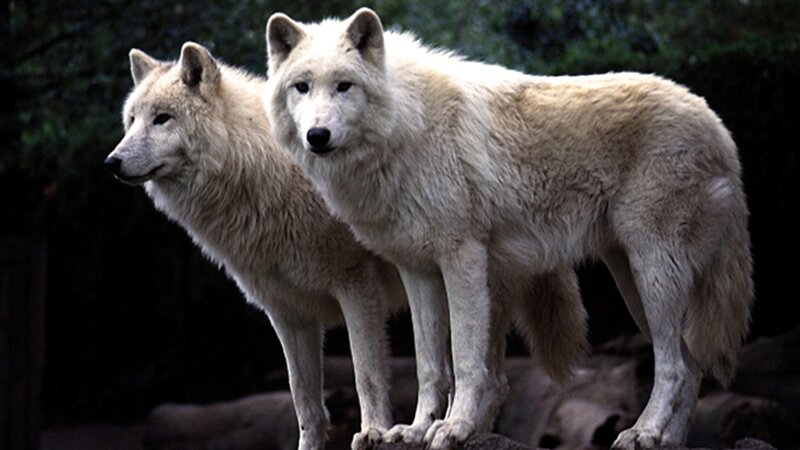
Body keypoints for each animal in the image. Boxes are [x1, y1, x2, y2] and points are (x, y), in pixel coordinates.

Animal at [103, 42, 406, 450]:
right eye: (132, 120)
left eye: (162, 119)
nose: (111, 162)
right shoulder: (288, 314)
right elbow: (305, 404)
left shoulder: (358, 289)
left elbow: (366, 375)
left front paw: (374, 433)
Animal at [265, 8, 754, 450]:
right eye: (301, 87)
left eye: (344, 86)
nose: (317, 135)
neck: (407, 126)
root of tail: (719, 128)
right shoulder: (418, 271)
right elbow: (429, 366)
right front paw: (417, 430)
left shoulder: (463, 257)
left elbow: (465, 360)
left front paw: (454, 428)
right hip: (633, 280)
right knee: (691, 365)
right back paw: (664, 440)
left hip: (652, 273)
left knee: (674, 366)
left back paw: (643, 432)